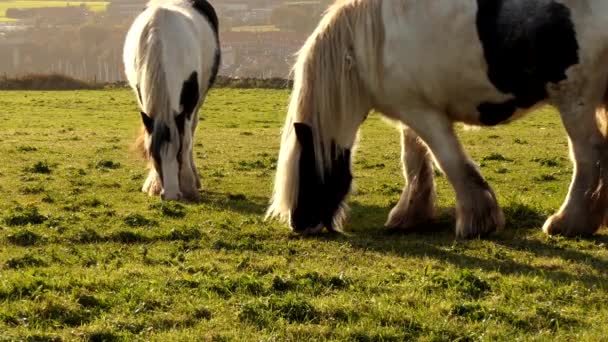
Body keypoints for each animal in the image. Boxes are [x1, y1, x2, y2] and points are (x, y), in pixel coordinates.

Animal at [122, 0, 220, 202]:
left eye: (178, 153)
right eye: (154, 155)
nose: (172, 194)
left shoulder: (188, 105)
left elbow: (187, 139)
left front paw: (189, 185)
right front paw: (153, 184)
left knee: (192, 129)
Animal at [268, 0, 608, 239]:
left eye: (305, 168)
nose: (299, 223)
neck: (367, 46)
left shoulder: (426, 115)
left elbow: (449, 161)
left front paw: (478, 221)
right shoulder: (410, 111)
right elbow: (415, 161)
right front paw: (409, 215)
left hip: (574, 102)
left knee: (588, 156)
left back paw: (569, 223)